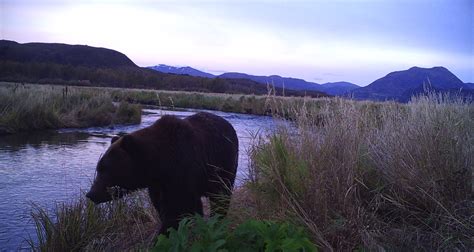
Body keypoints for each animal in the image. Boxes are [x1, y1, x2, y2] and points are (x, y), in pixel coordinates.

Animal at [86, 112, 237, 234]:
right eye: (99, 168)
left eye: (106, 169)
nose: (91, 194)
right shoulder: (158, 185)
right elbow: (163, 205)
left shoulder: (182, 169)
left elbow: (178, 207)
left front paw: (166, 231)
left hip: (222, 166)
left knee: (221, 195)